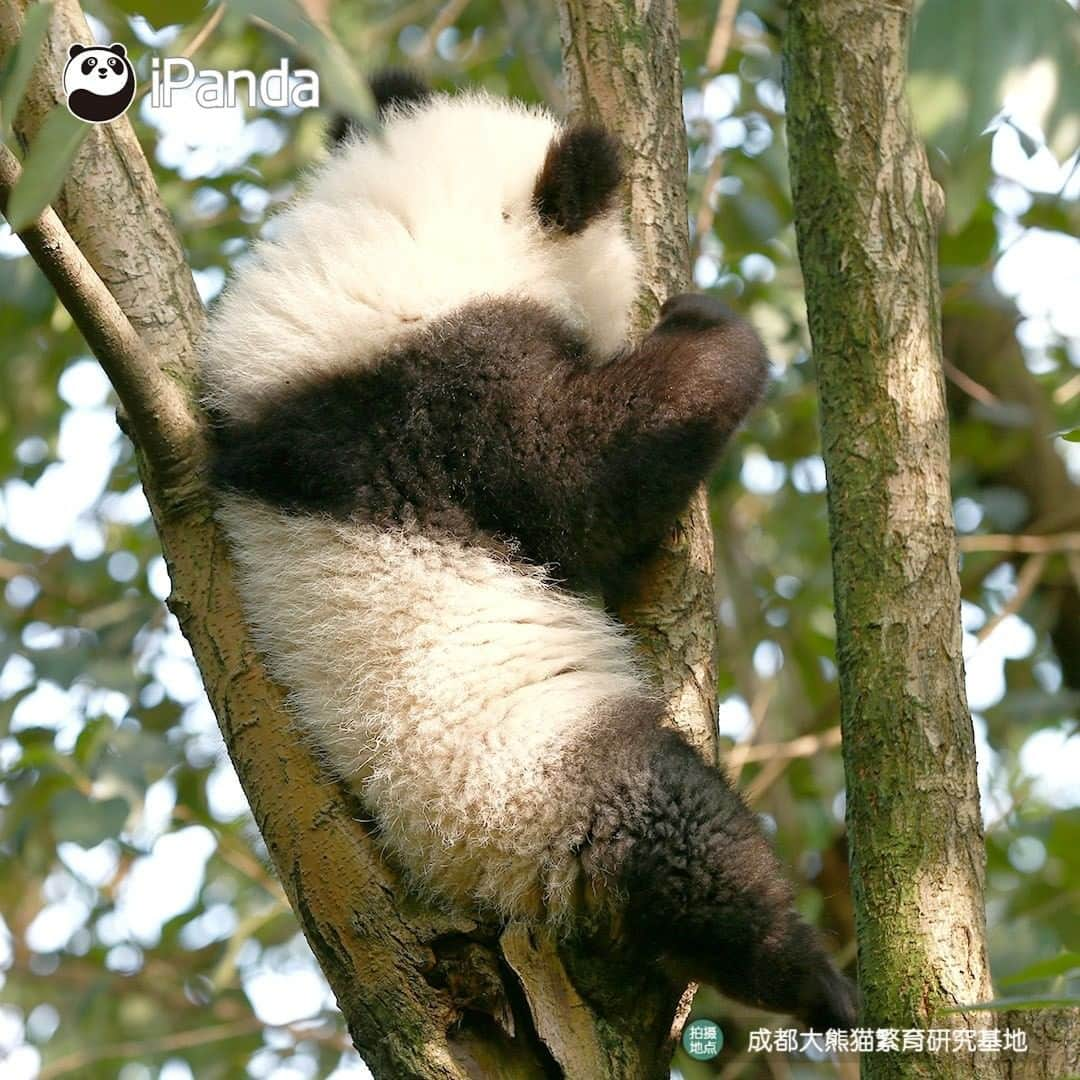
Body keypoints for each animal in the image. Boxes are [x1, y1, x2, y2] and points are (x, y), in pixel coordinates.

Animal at [203, 69, 855, 1028]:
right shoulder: (437, 397)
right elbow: (576, 476)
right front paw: (715, 331)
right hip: (517, 785)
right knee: (669, 833)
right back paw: (807, 973)